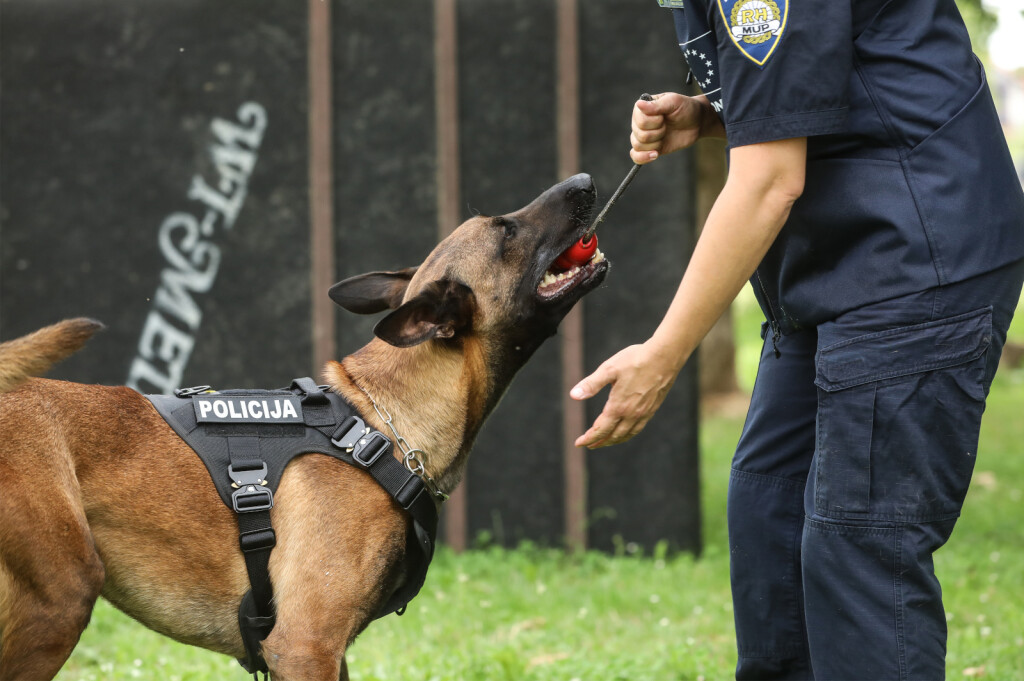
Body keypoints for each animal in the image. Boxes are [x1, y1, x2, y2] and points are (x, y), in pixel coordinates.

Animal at [0, 174, 606, 679]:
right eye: (506, 229)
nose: (584, 180)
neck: (382, 426)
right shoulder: (305, 645)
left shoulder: (325, 651)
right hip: (61, 599)